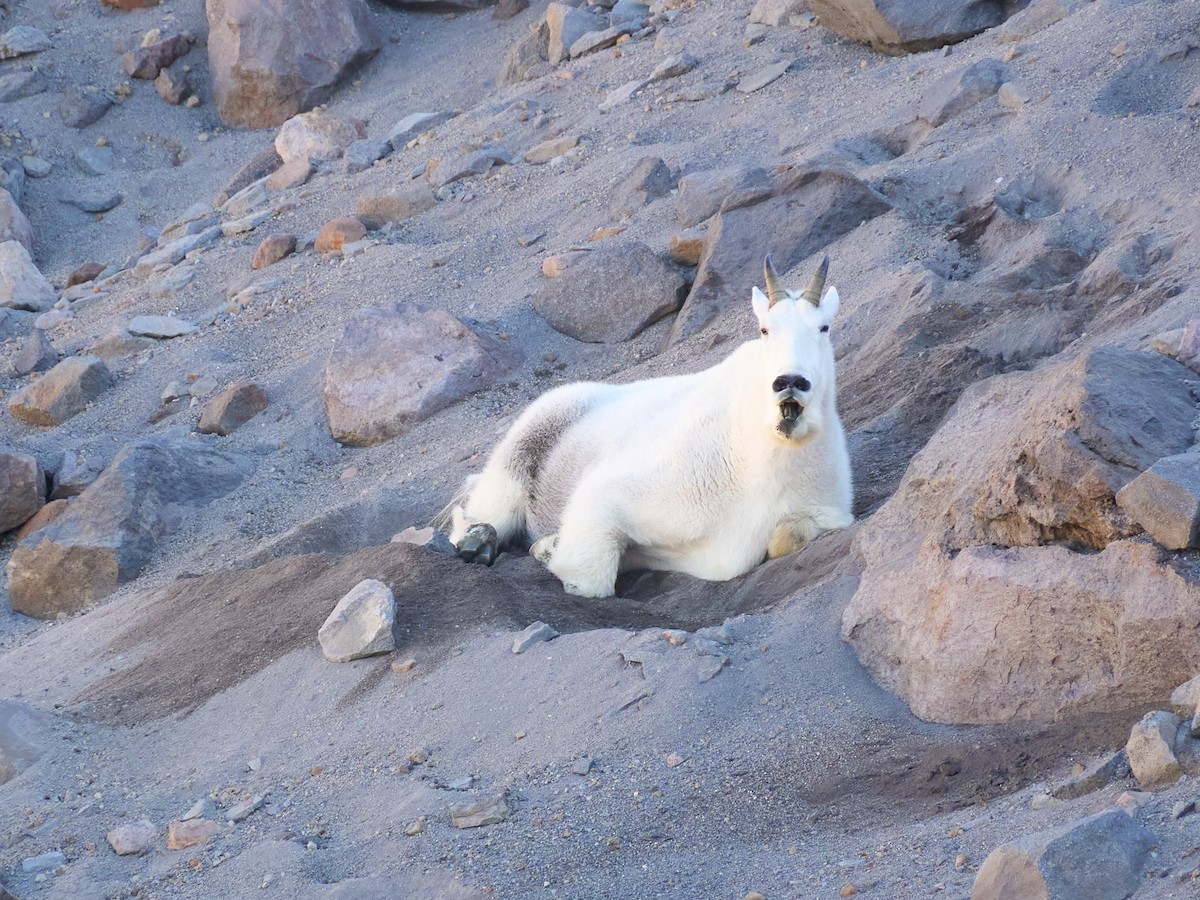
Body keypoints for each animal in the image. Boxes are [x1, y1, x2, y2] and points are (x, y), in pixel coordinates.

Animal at [447, 255, 853, 597]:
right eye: (766, 329)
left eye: (824, 327)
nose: (790, 381)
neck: (762, 459)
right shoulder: (628, 491)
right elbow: (589, 578)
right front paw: (549, 548)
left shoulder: (827, 509)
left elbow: (790, 534)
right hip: (529, 436)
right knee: (483, 509)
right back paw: (478, 542)